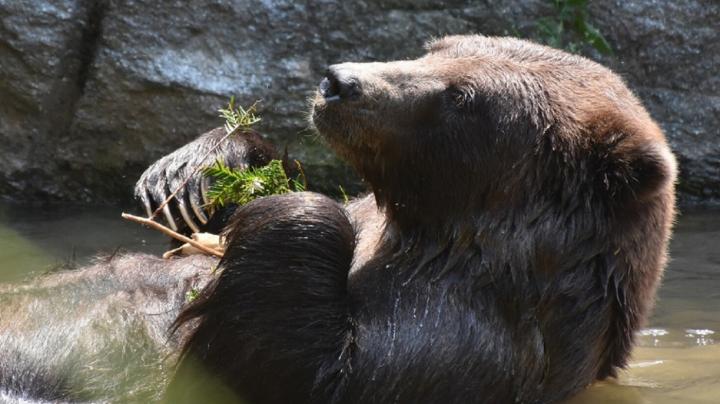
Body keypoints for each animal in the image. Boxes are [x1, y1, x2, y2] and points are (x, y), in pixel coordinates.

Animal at [163, 35, 677, 404]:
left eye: (462, 96)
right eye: (435, 49)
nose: (339, 81)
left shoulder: (455, 345)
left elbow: (303, 372)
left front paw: (296, 208)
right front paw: (197, 174)